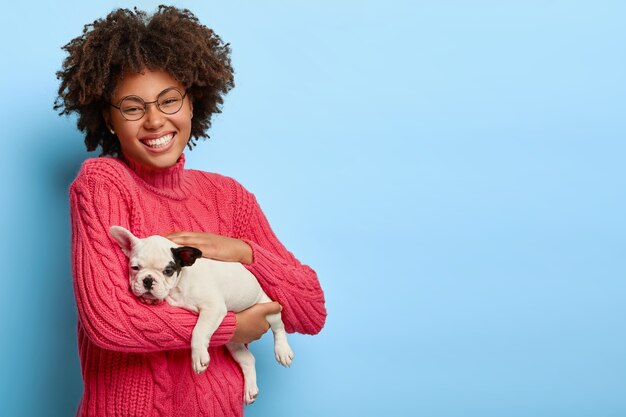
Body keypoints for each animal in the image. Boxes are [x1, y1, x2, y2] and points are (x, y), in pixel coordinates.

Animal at [108, 224, 294, 404]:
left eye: (168, 271)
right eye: (135, 268)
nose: (147, 280)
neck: (178, 285)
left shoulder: (213, 308)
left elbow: (199, 331)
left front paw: (198, 356)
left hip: (269, 309)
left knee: (279, 328)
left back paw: (283, 351)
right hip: (233, 341)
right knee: (247, 359)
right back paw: (250, 389)